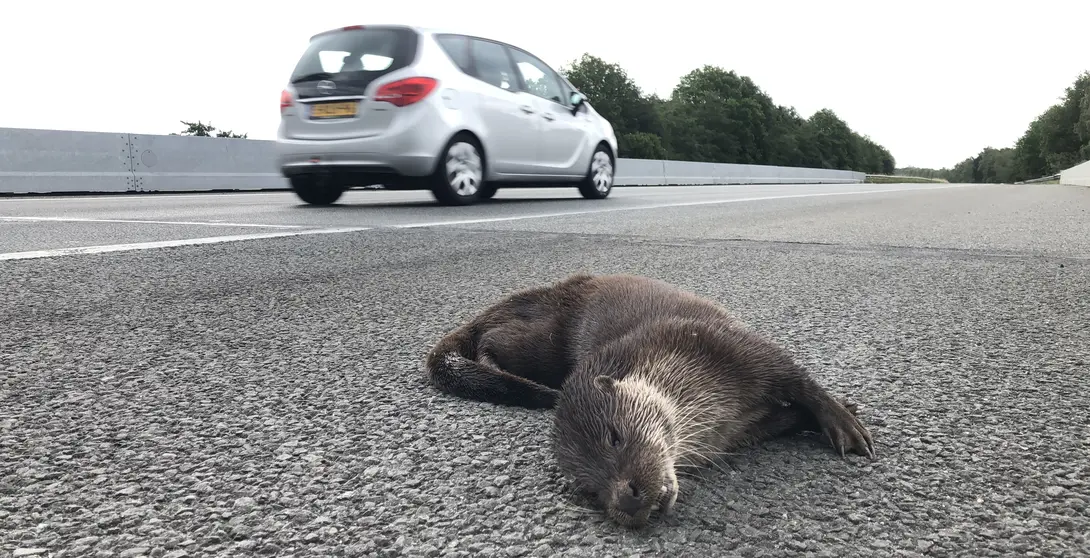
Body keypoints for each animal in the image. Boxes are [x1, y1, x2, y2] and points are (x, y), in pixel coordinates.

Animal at [423, 273, 875, 528]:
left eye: (614, 437)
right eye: (589, 490)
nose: (627, 499)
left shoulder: (735, 347)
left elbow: (799, 379)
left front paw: (844, 421)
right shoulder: (737, 431)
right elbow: (788, 414)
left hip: (543, 338)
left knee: (493, 339)